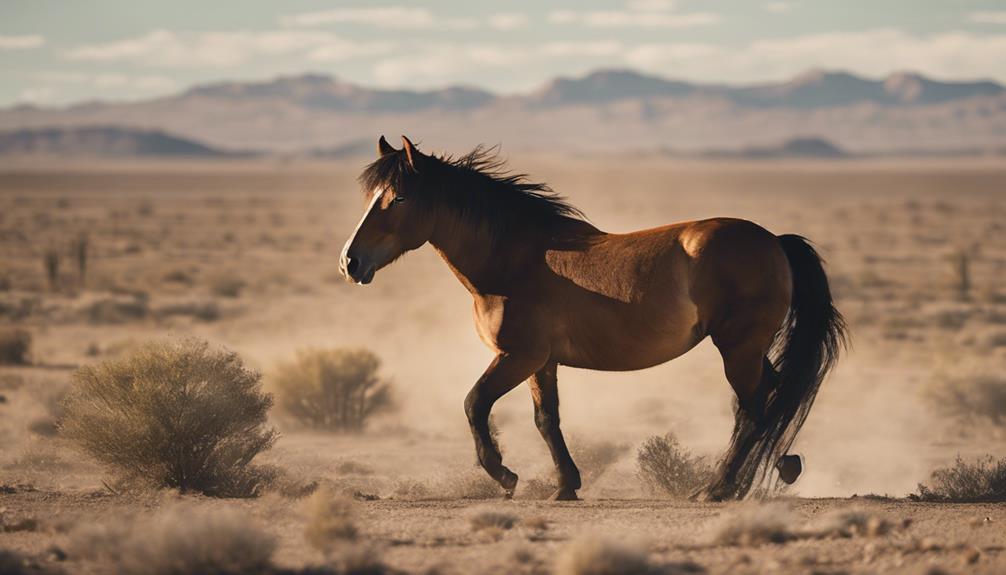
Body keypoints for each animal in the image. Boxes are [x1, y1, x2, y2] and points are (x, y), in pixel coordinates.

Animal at [342, 136, 845, 500]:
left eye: (399, 198)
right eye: (370, 196)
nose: (350, 261)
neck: (513, 260)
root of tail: (775, 241)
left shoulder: (518, 357)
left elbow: (474, 403)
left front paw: (505, 476)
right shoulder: (541, 363)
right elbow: (547, 420)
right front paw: (566, 487)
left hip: (737, 347)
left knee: (753, 410)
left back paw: (719, 489)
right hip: (748, 348)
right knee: (774, 397)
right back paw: (781, 466)